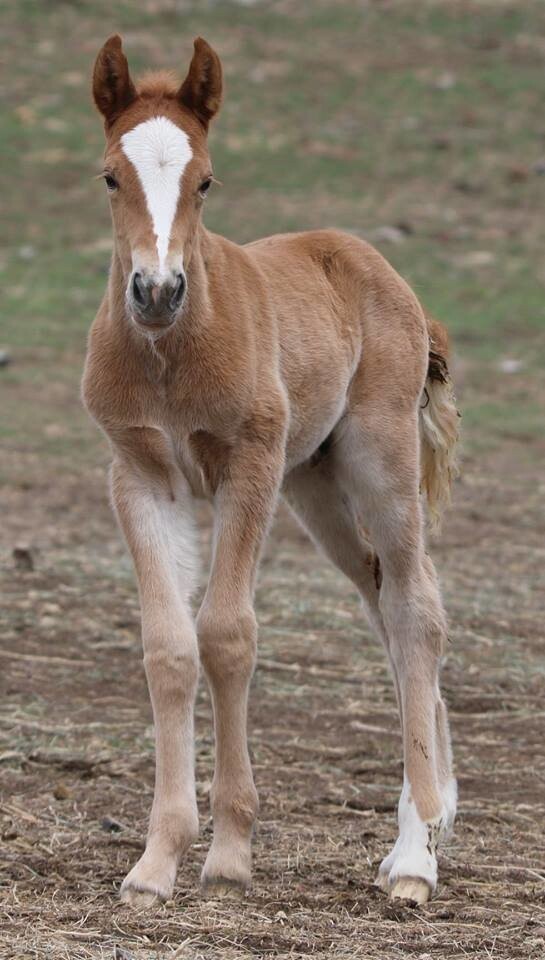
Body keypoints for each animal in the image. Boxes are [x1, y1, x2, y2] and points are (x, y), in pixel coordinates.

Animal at [84, 35, 460, 908]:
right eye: (110, 175)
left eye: (205, 179)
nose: (157, 292)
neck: (171, 353)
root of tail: (379, 268)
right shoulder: (140, 477)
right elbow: (168, 647)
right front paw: (155, 864)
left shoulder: (246, 468)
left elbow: (226, 634)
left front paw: (228, 854)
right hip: (314, 485)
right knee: (382, 604)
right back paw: (428, 825)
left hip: (377, 460)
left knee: (416, 609)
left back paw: (414, 859)